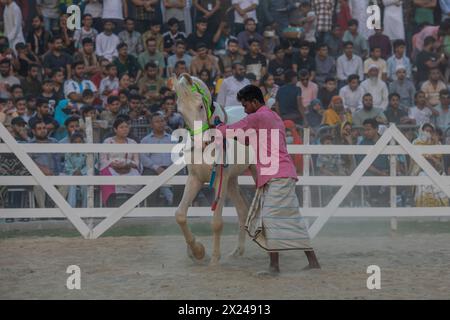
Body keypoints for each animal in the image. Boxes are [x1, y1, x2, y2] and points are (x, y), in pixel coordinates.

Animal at [173, 74, 256, 266]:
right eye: (180, 112)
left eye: (200, 106)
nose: (201, 141)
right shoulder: (195, 179)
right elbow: (180, 215)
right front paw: (197, 252)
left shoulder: (220, 180)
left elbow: (217, 222)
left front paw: (215, 259)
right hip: (232, 180)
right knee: (242, 210)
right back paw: (237, 251)